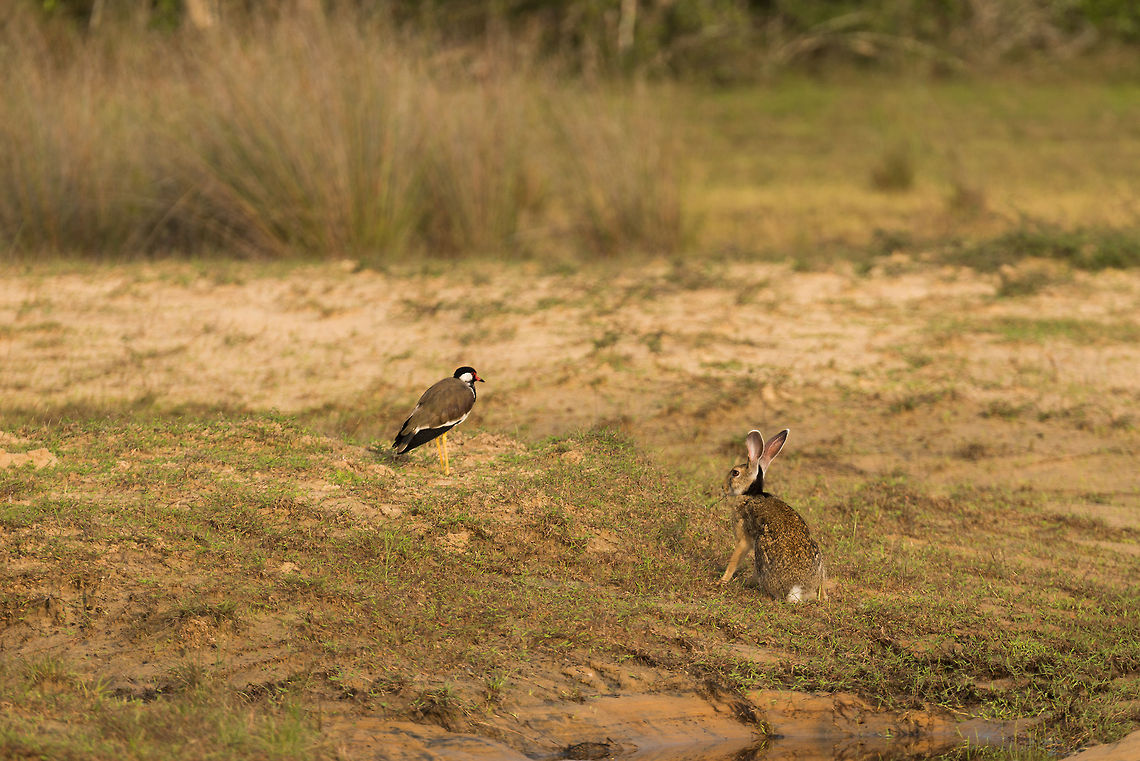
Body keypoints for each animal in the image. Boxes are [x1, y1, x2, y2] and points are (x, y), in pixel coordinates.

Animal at [721, 428, 827, 603]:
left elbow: (735, 559)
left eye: (735, 473)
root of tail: (796, 588)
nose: (723, 487)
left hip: (761, 549)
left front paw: (723, 579)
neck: (751, 494)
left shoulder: (744, 538)